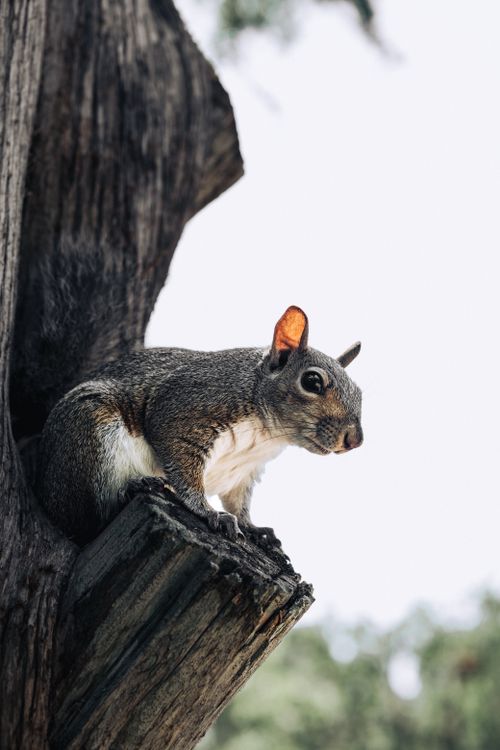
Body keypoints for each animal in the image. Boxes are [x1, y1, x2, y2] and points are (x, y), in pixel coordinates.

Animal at [37, 305, 363, 547]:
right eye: (312, 382)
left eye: (360, 392)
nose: (355, 440)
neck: (265, 434)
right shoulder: (184, 409)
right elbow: (185, 472)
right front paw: (208, 512)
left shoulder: (244, 472)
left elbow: (238, 502)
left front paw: (253, 527)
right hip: (91, 430)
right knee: (89, 519)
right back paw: (135, 487)